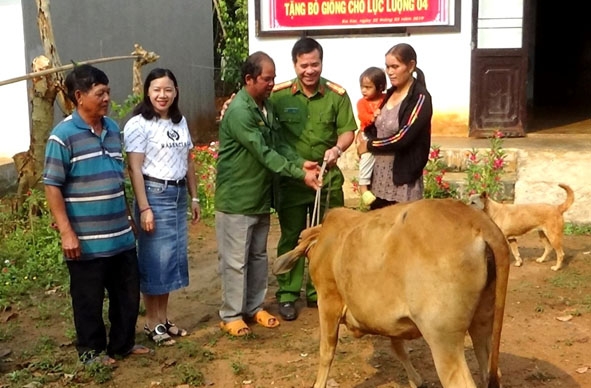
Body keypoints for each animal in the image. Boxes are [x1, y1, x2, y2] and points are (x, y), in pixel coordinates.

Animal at [272, 199, 508, 388]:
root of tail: (476, 220)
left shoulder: (328, 302)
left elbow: (326, 351)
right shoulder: (393, 321)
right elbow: (398, 348)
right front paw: (416, 380)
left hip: (443, 338)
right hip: (482, 322)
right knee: (491, 371)